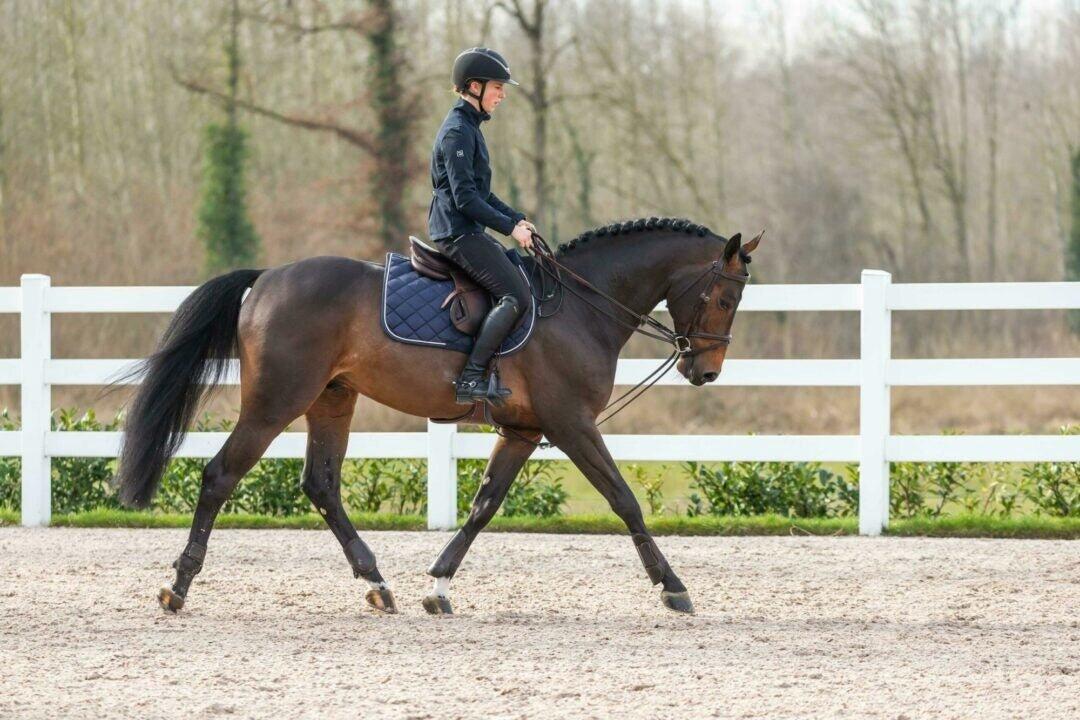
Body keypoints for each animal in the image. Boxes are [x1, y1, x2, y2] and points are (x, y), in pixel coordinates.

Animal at [114, 216, 760, 616]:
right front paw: (673, 588)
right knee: (220, 476)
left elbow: (483, 506)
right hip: (276, 401)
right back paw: (177, 586)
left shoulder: (524, 431)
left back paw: (378, 584)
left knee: (321, 485)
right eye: (725, 298)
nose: (705, 370)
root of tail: (266, 279)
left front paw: (439, 585)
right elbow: (624, 500)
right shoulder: (571, 424)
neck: (581, 305)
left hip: (332, 399)